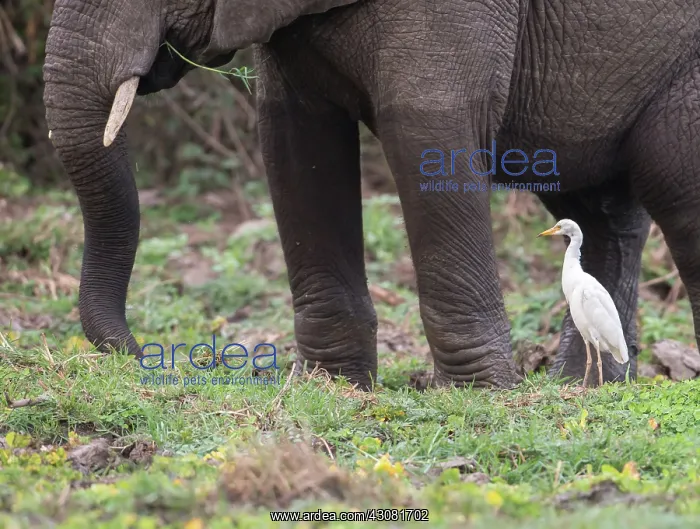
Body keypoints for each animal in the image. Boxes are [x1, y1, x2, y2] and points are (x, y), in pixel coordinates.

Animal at [44, 0, 700, 390]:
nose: (141, 356)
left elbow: (428, 125)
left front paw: (478, 394)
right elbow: (295, 138)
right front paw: (332, 385)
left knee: (676, 198)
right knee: (602, 211)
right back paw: (585, 384)